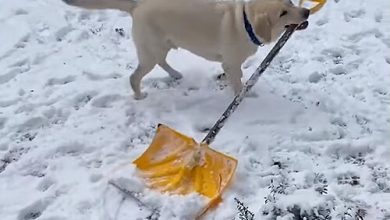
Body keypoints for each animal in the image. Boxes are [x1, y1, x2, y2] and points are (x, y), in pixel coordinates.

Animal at [63, 0, 308, 99]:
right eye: (282, 13)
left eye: (290, 2)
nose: (306, 12)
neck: (245, 21)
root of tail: (136, 6)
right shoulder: (230, 63)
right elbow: (238, 84)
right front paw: (243, 96)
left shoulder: (231, 64)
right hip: (150, 51)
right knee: (134, 77)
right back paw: (139, 95)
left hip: (160, 47)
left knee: (162, 62)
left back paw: (175, 74)